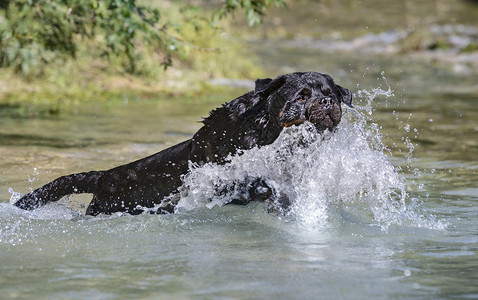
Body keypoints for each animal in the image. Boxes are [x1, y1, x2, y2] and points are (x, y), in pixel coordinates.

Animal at [14, 72, 352, 216]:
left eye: (330, 94)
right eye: (302, 96)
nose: (326, 102)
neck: (262, 134)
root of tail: (106, 176)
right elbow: (258, 184)